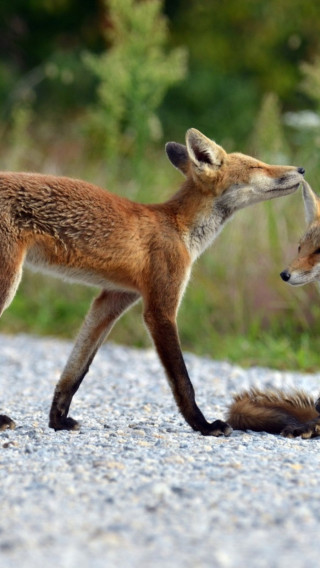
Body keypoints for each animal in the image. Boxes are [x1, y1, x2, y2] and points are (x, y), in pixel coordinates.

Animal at [0, 129, 304, 434]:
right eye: (257, 166)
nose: (301, 169)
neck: (180, 229)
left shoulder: (113, 299)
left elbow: (76, 370)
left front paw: (57, 420)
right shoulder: (160, 309)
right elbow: (182, 380)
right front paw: (203, 425)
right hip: (8, 282)